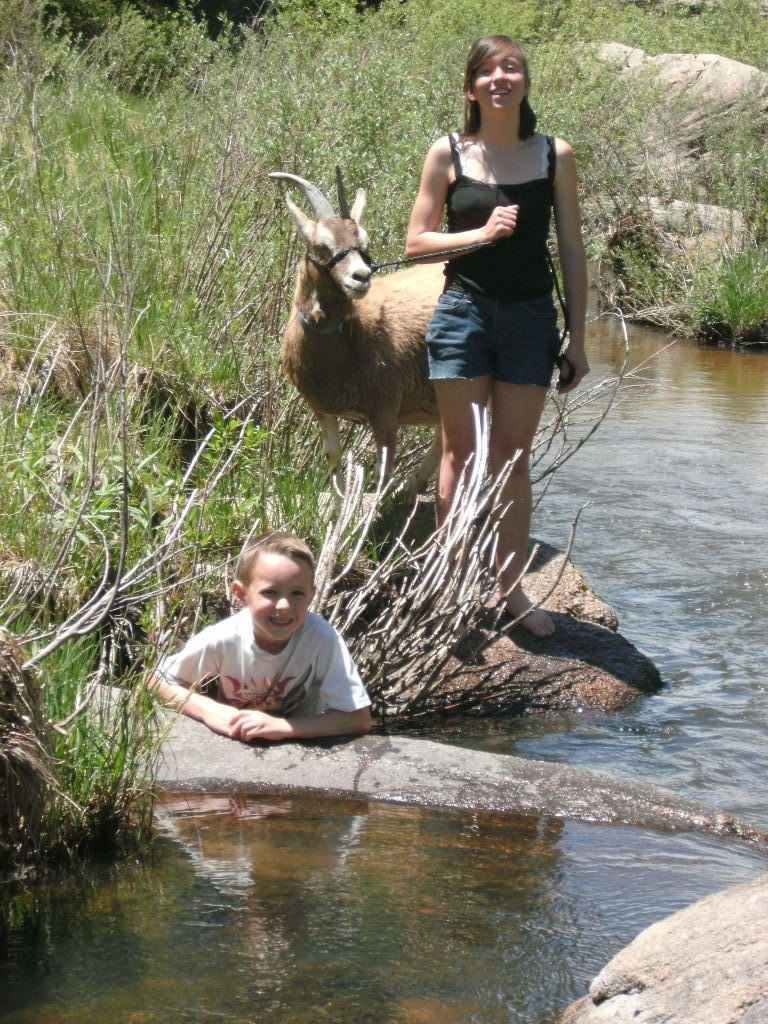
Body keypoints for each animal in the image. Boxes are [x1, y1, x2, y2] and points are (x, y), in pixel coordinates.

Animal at [270, 170, 444, 497]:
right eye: (321, 245)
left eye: (364, 242)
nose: (361, 277)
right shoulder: (321, 408)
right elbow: (333, 457)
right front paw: (339, 502)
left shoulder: (385, 409)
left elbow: (382, 472)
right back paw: (414, 486)